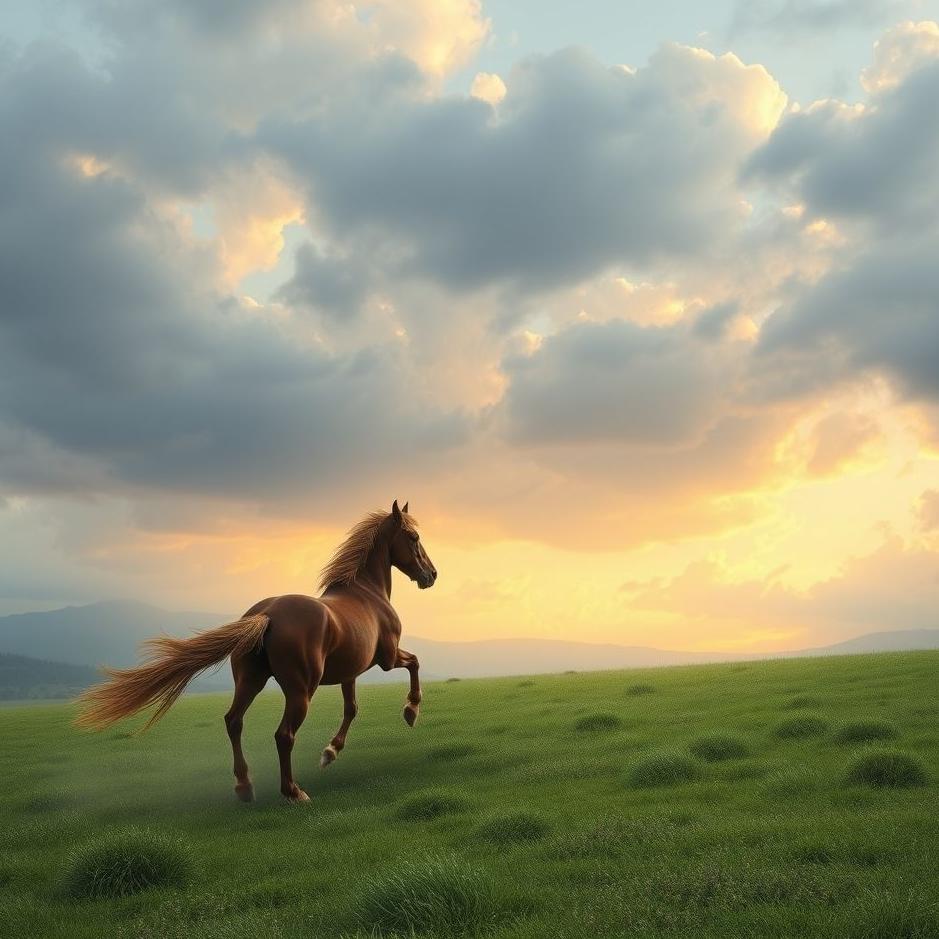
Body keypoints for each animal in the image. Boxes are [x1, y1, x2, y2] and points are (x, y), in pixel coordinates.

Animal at [75, 500, 437, 802]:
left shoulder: (350, 673)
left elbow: (352, 709)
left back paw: (244, 786)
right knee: (283, 735)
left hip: (250, 681)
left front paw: (330, 752)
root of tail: (268, 615)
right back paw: (292, 792)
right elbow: (414, 663)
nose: (431, 575)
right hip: (300, 690)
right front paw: (411, 711)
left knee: (233, 721)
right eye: (413, 536)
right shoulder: (386, 659)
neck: (366, 594)